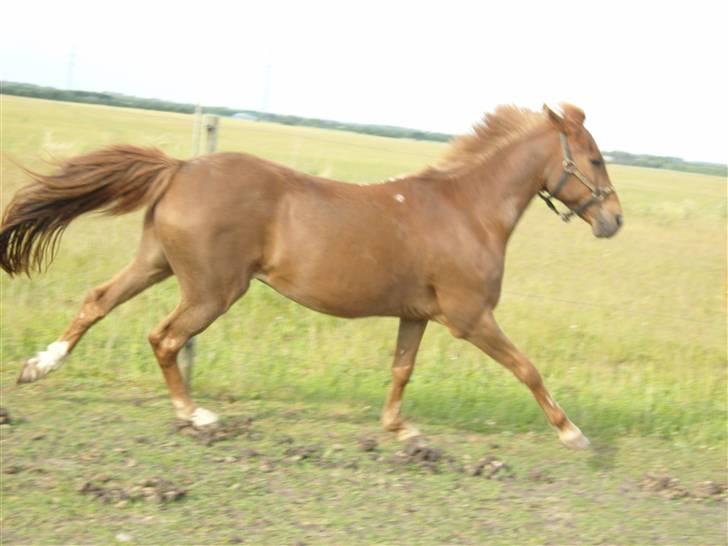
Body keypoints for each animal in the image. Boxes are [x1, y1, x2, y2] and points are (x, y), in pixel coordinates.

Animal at [2, 102, 624, 446]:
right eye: (595, 159)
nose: (614, 220)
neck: (466, 210)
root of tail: (180, 167)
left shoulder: (416, 315)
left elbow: (401, 371)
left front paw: (399, 429)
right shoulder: (470, 317)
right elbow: (527, 368)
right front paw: (573, 433)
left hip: (156, 263)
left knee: (97, 299)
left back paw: (37, 367)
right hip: (211, 289)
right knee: (164, 338)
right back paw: (194, 414)